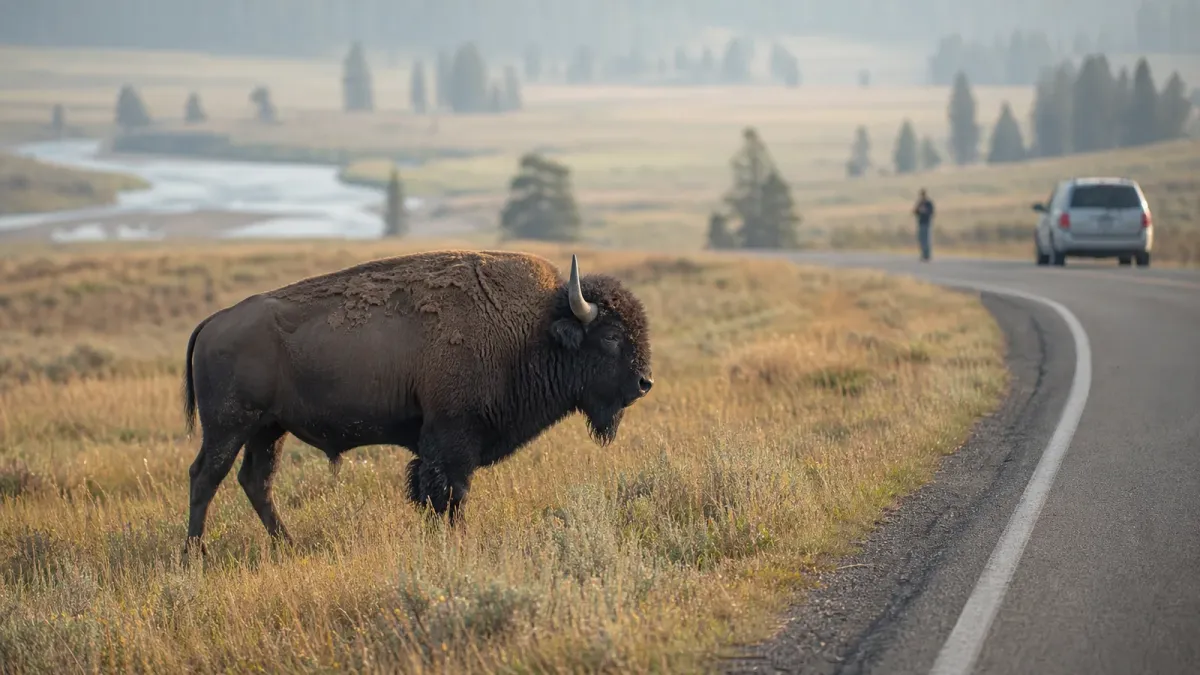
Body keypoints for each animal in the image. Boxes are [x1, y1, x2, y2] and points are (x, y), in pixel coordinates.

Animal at [180, 250, 653, 555]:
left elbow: (434, 494)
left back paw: (288, 546)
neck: (532, 329)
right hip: (229, 427)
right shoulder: (453, 437)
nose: (644, 383)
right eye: (612, 336)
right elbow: (450, 493)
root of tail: (213, 322)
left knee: (256, 481)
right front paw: (456, 541)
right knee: (205, 477)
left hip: (268, 429)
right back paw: (194, 555)